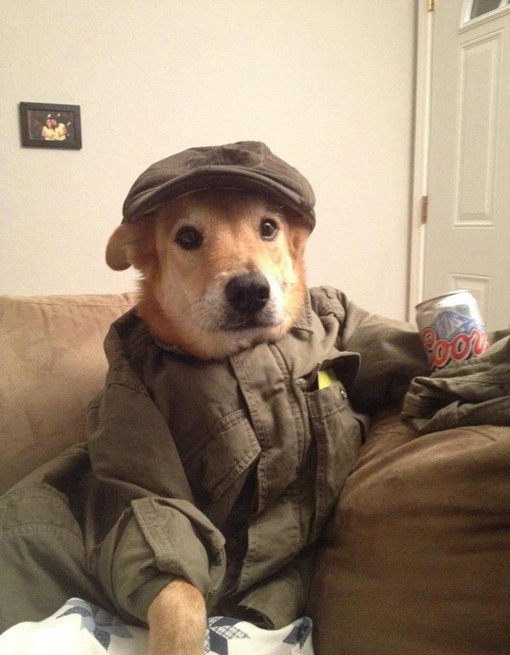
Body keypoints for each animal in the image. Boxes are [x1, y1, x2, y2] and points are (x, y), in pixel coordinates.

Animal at [106, 187, 312, 652]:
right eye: (187, 236)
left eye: (268, 227)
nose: (250, 290)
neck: (232, 356)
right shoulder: (152, 491)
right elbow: (179, 591)